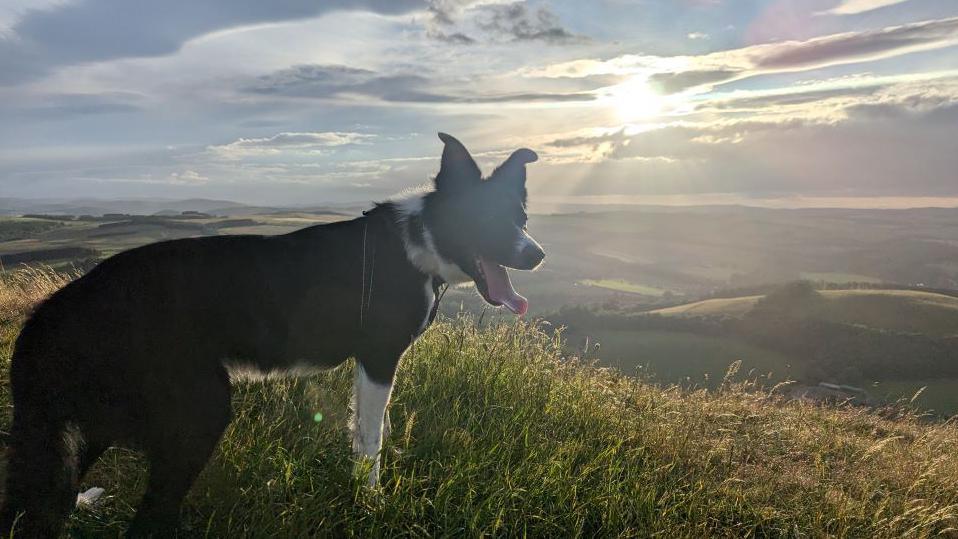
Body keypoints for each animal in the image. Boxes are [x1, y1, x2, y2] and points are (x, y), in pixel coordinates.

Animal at [0, 134, 548, 536]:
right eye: (485, 219)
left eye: (521, 218)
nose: (537, 254)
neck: (424, 239)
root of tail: (57, 309)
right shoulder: (377, 357)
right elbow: (370, 439)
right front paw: (370, 500)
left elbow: (371, 430)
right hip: (199, 411)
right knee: (145, 520)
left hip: (92, 421)